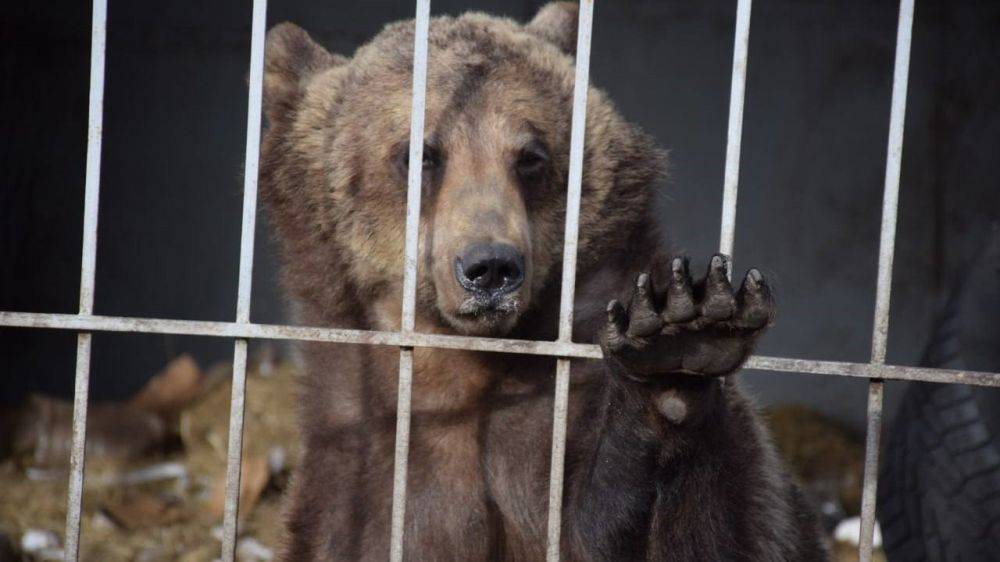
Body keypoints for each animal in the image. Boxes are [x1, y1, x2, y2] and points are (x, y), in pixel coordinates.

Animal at [258, 2, 828, 556]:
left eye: (530, 156)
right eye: (419, 154)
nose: (491, 267)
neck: (471, 369)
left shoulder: (559, 429)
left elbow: (711, 528)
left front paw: (679, 349)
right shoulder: (362, 474)